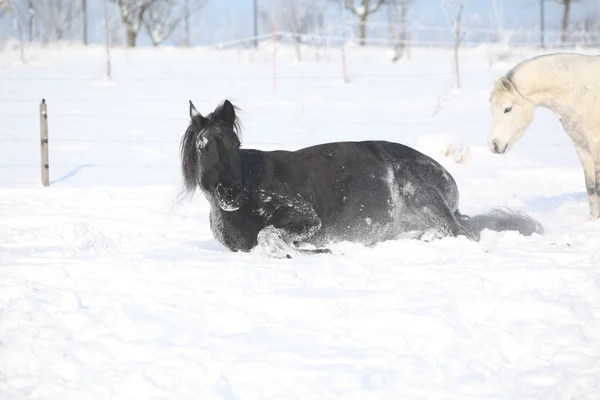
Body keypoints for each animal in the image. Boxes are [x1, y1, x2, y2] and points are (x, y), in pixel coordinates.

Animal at [179, 98, 544, 258]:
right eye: (203, 147)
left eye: (235, 145)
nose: (230, 193)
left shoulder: (307, 218)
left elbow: (268, 234)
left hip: (423, 197)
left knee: (460, 233)